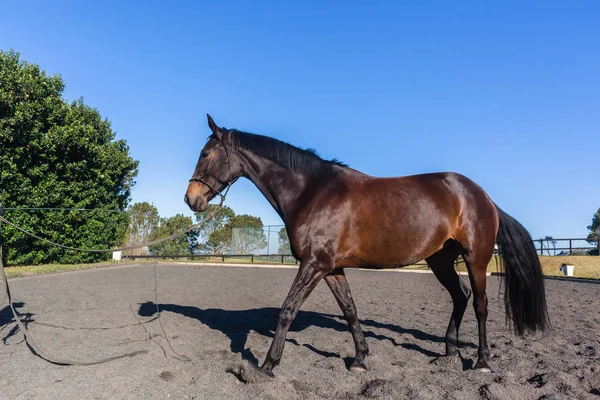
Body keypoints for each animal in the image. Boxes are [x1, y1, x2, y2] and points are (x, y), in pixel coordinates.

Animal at [185, 114, 552, 376]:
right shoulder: (331, 268)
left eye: (205, 153)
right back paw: (449, 352)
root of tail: (482, 196)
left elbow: (288, 310)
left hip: (476, 259)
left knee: (479, 305)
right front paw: (360, 358)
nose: (191, 199)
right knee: (460, 297)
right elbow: (350, 310)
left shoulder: (313, 265)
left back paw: (482, 361)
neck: (312, 191)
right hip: (440, 260)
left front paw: (267, 365)